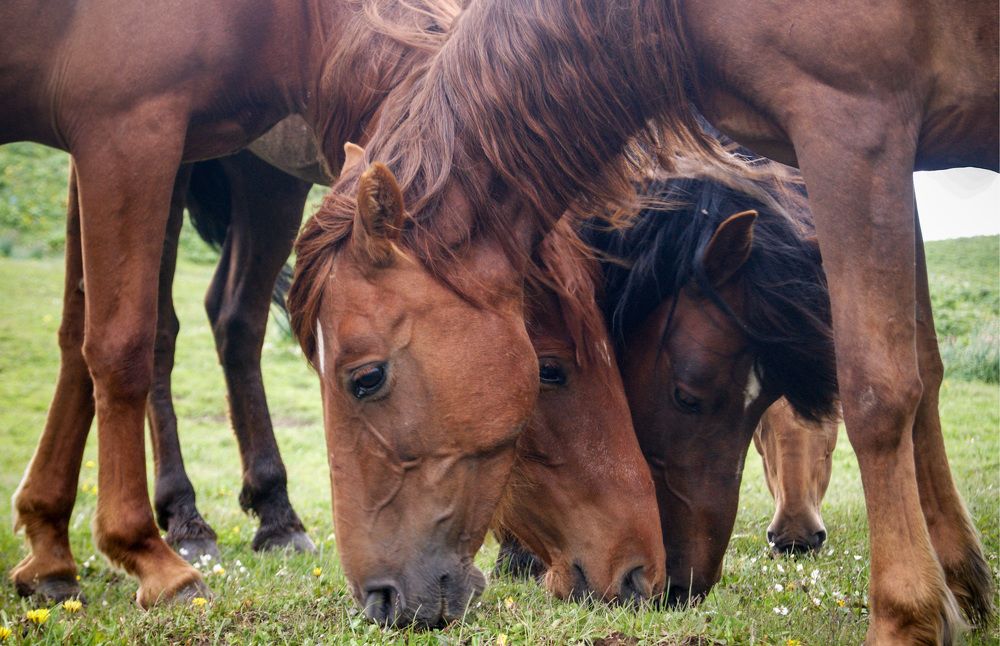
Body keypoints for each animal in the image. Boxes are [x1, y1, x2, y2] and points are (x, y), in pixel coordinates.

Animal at [3, 0, 462, 606]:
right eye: (370, 377)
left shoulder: (95, 142)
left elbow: (77, 336)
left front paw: (48, 549)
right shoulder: (124, 131)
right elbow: (117, 341)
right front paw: (146, 557)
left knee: (232, 320)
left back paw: (275, 516)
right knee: (167, 330)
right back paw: (185, 521)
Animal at [301, 0, 996, 639]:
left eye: (366, 378)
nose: (379, 599)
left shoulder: (855, 130)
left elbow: (880, 390)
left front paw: (908, 617)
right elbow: (924, 372)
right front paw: (963, 585)